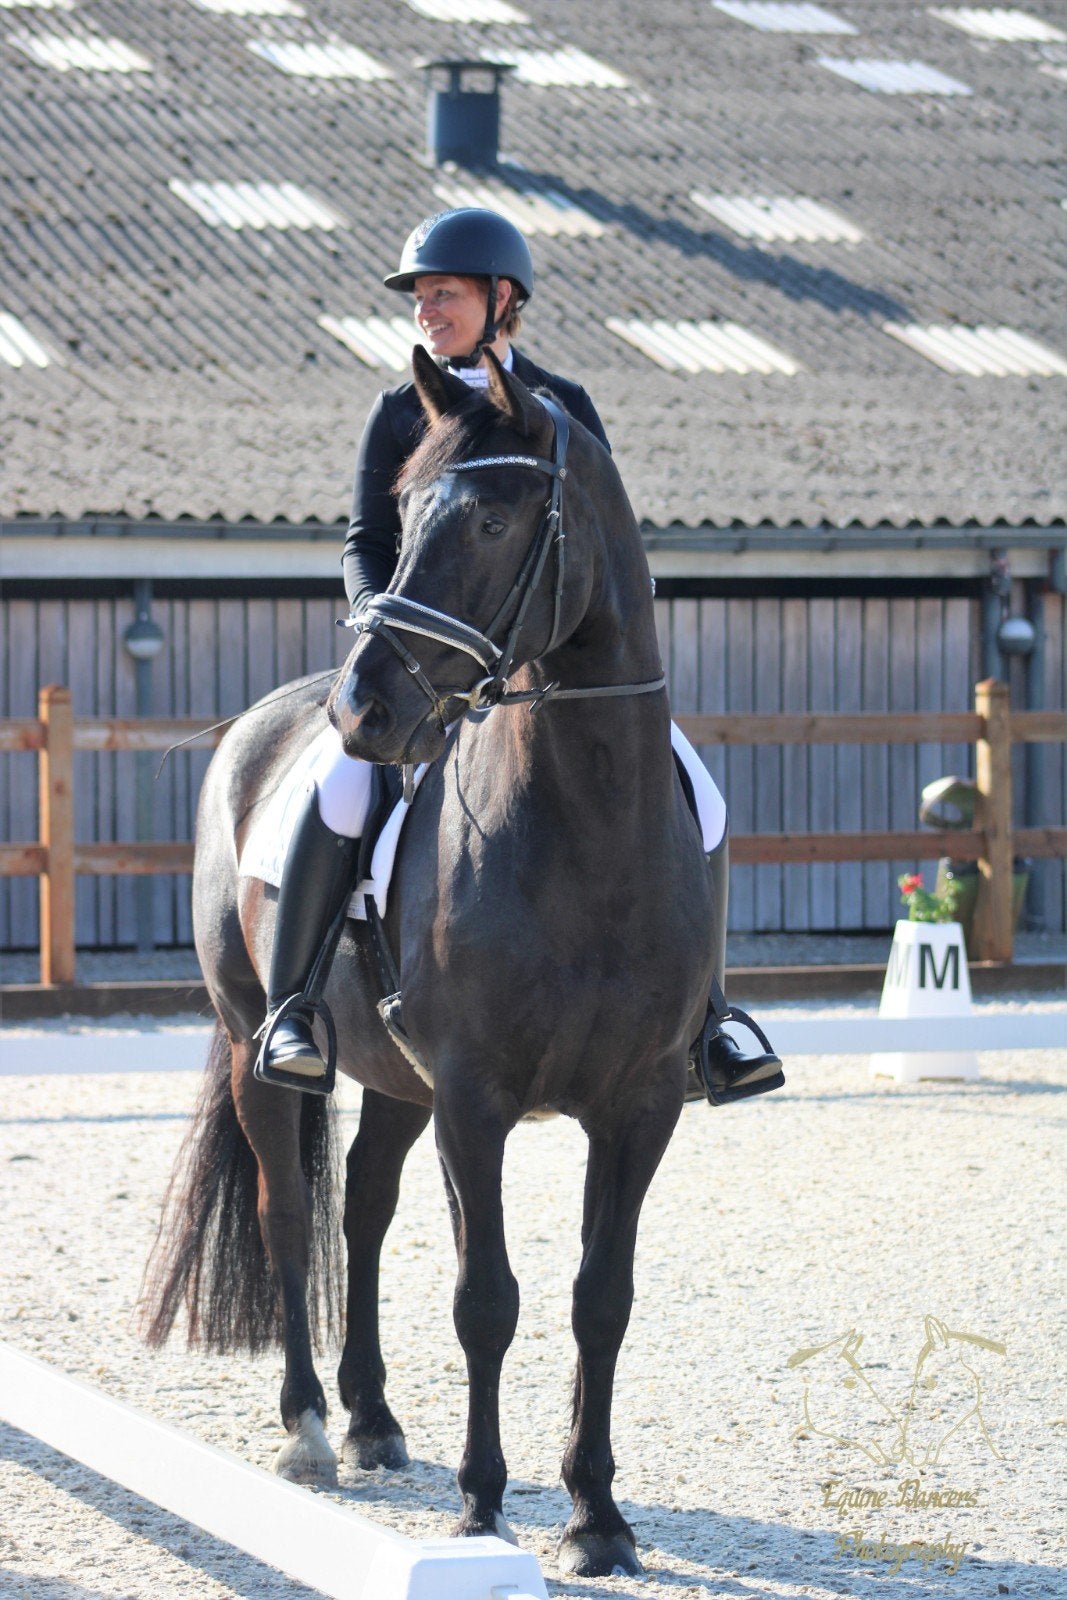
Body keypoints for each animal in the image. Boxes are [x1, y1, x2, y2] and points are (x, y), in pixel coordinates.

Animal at [141, 346, 717, 1579]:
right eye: (401, 515)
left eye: (497, 517)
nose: (365, 711)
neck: (585, 827)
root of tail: (262, 721)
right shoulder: (475, 1095)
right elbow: (484, 1296)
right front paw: (482, 1503)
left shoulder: (640, 1101)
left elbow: (601, 1297)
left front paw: (597, 1520)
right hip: (259, 1047)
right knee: (289, 1213)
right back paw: (311, 1429)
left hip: (395, 1077)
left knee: (361, 1205)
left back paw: (370, 1419)